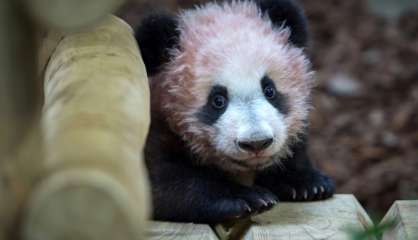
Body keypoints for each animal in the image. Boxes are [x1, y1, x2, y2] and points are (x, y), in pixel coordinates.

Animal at [136, 0, 334, 223]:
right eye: (218, 100)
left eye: (269, 90)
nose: (257, 143)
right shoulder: (152, 128)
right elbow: (164, 185)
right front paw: (248, 198)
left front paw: (308, 184)